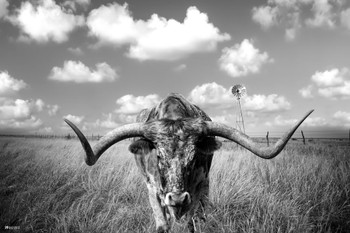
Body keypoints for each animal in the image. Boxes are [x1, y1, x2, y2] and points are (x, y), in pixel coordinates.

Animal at [64, 93, 314, 233]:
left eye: (193, 157)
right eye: (158, 156)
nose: (176, 198)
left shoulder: (196, 188)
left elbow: (189, 224)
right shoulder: (152, 189)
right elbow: (162, 224)